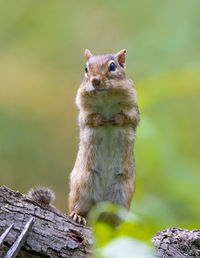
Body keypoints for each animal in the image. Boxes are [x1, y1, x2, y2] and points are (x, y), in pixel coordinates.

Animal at [68, 49, 139, 226]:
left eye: (112, 66)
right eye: (86, 68)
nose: (95, 80)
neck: (105, 98)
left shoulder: (133, 109)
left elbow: (129, 118)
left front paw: (115, 119)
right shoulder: (83, 112)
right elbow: (88, 119)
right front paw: (100, 119)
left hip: (121, 197)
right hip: (82, 187)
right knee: (77, 208)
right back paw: (77, 215)